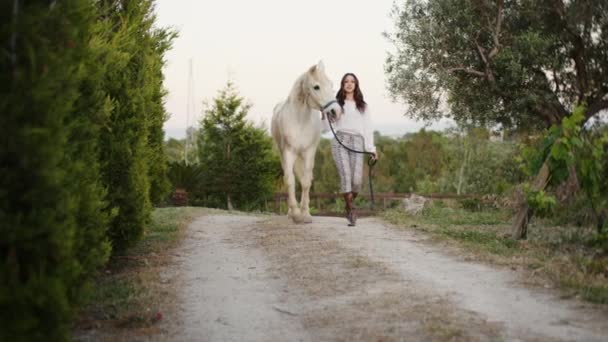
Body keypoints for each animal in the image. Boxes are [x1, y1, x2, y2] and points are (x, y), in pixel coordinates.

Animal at [272, 60, 342, 223]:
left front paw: (305, 214)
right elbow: (290, 181)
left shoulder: (309, 152)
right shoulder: (289, 152)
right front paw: (296, 214)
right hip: (284, 154)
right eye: (316, 86)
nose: (336, 111)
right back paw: (291, 212)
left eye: (331, 84)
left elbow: (305, 181)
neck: (300, 121)